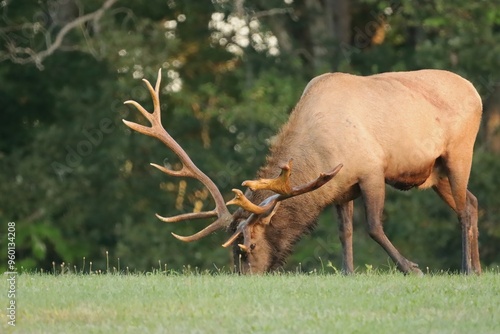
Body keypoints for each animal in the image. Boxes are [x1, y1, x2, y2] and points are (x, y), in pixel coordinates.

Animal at [123, 68, 482, 274]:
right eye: (233, 253)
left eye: (249, 247)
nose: (246, 278)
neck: (322, 151)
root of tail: (475, 90)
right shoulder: (342, 187)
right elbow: (345, 233)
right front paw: (347, 273)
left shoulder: (371, 171)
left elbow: (373, 227)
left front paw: (412, 268)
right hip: (435, 172)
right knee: (473, 202)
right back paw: (477, 269)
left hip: (460, 151)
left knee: (463, 209)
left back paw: (466, 269)